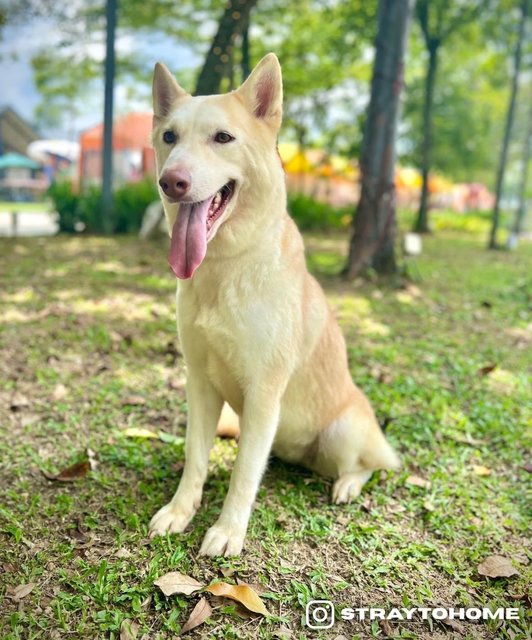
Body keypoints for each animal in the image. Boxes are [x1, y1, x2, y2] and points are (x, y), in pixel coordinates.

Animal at [150, 53, 400, 556]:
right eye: (169, 137)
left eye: (223, 138)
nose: (172, 182)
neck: (226, 269)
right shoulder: (200, 383)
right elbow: (196, 457)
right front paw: (181, 511)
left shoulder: (264, 392)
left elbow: (244, 474)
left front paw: (228, 530)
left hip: (340, 433)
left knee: (366, 465)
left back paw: (348, 484)